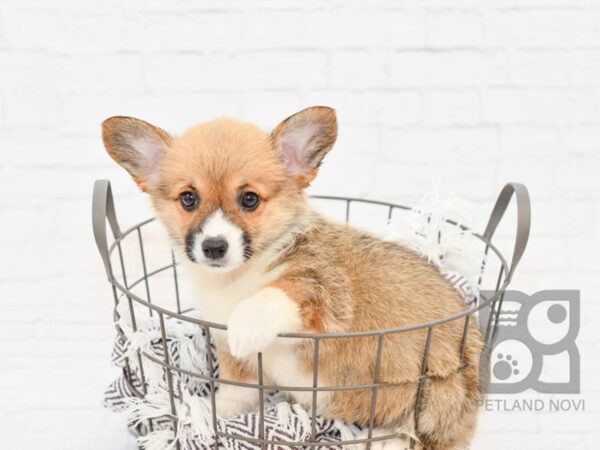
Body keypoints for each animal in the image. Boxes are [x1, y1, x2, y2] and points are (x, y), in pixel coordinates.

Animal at [103, 107, 486, 448]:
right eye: (188, 198)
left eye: (249, 199)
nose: (214, 247)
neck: (239, 276)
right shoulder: (234, 356)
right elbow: (235, 391)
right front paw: (210, 417)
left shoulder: (322, 290)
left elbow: (276, 293)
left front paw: (248, 322)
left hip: (437, 393)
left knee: (429, 435)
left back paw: (384, 442)